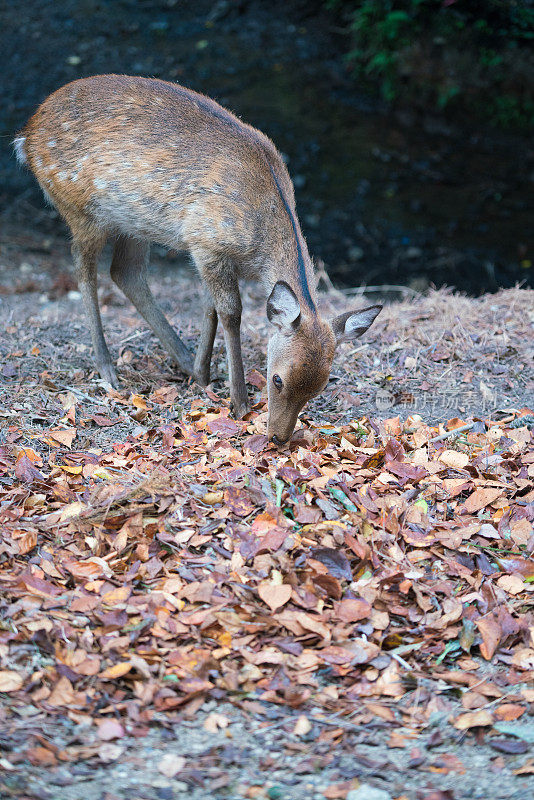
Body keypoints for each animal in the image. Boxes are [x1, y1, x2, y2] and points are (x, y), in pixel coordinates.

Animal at [12, 76, 382, 444]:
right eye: (277, 379)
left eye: (319, 389)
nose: (279, 436)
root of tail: (26, 135)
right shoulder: (206, 242)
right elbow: (230, 313)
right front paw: (239, 401)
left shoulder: (209, 253)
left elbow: (209, 308)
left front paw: (203, 374)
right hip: (80, 207)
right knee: (85, 271)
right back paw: (107, 367)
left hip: (134, 221)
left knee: (125, 273)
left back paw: (184, 360)